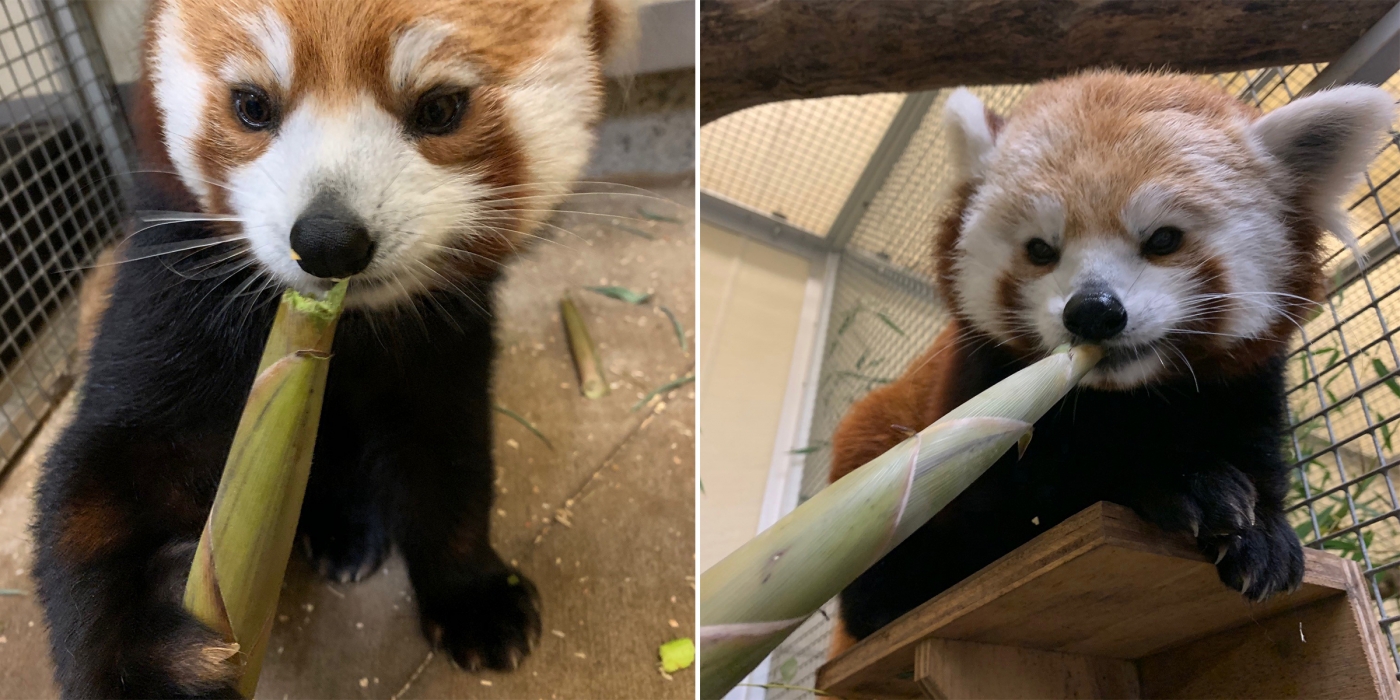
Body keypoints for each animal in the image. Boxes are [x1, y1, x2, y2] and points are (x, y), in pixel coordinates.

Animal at [32, 0, 635, 694]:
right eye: (252, 105)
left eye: (439, 108)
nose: (327, 241)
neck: (351, 326)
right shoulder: (170, 307)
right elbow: (102, 478)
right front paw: (148, 660)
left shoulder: (445, 339)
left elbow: (448, 451)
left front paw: (473, 592)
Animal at [823, 71, 1394, 655]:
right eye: (1040, 249)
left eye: (1163, 238)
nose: (1093, 312)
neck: (1125, 397)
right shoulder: (978, 393)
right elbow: (1016, 501)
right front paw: (1178, 481)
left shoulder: (1244, 382)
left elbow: (1253, 441)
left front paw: (1264, 532)